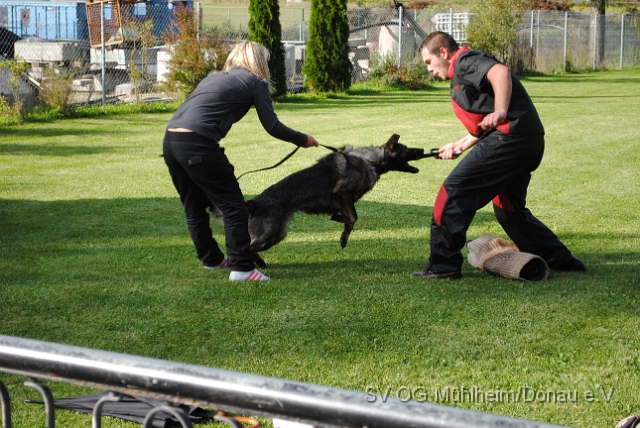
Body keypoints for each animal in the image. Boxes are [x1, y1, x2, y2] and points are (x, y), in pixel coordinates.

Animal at [248, 134, 428, 268]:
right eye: (405, 149)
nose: (423, 149)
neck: (370, 161)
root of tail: (254, 202)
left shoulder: (345, 201)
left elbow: (351, 221)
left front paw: (343, 234)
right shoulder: (342, 192)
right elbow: (354, 217)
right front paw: (338, 221)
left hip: (278, 234)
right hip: (269, 235)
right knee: (247, 247)